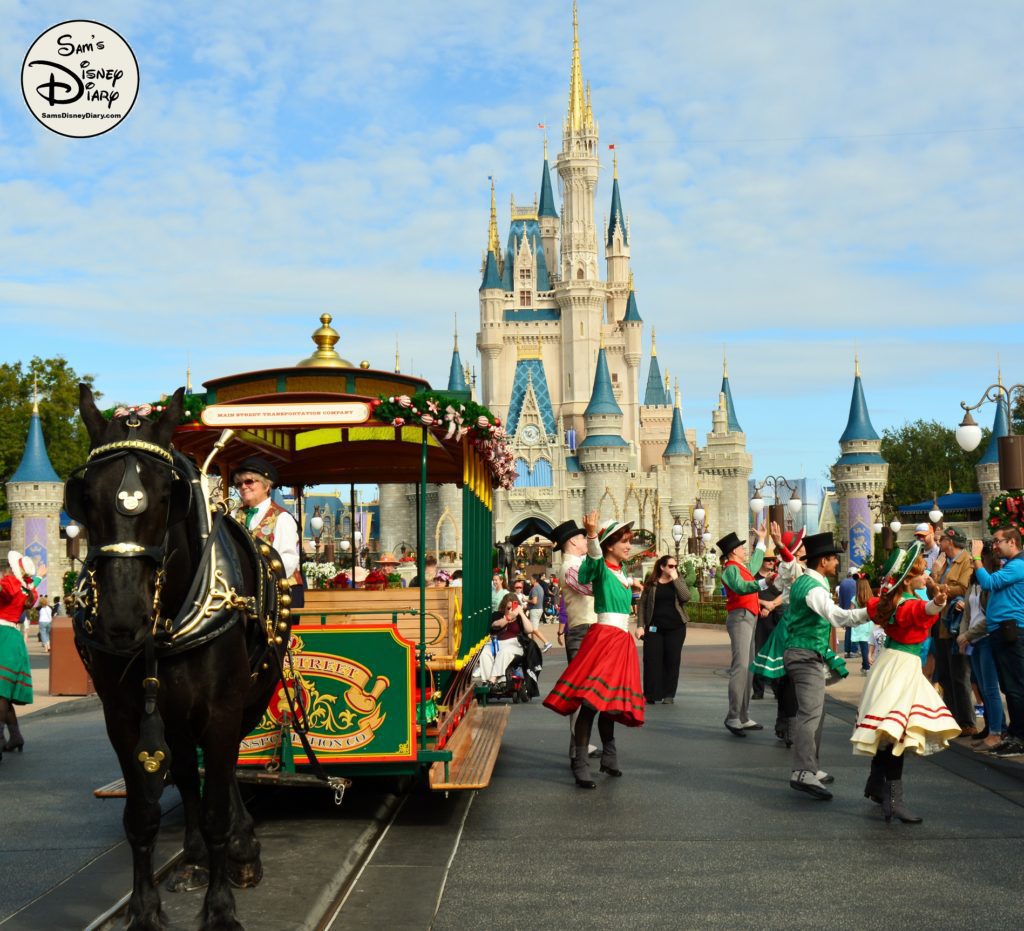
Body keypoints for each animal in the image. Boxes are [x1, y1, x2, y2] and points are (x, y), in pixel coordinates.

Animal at [67, 381, 292, 925]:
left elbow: (217, 803)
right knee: (190, 774)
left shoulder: (222, 708)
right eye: (86, 496)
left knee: (223, 774)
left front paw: (221, 907)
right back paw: (192, 859)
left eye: (168, 496)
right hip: (173, 715)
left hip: (251, 694)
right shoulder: (124, 716)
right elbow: (142, 816)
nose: (122, 616)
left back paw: (241, 848)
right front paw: (144, 909)